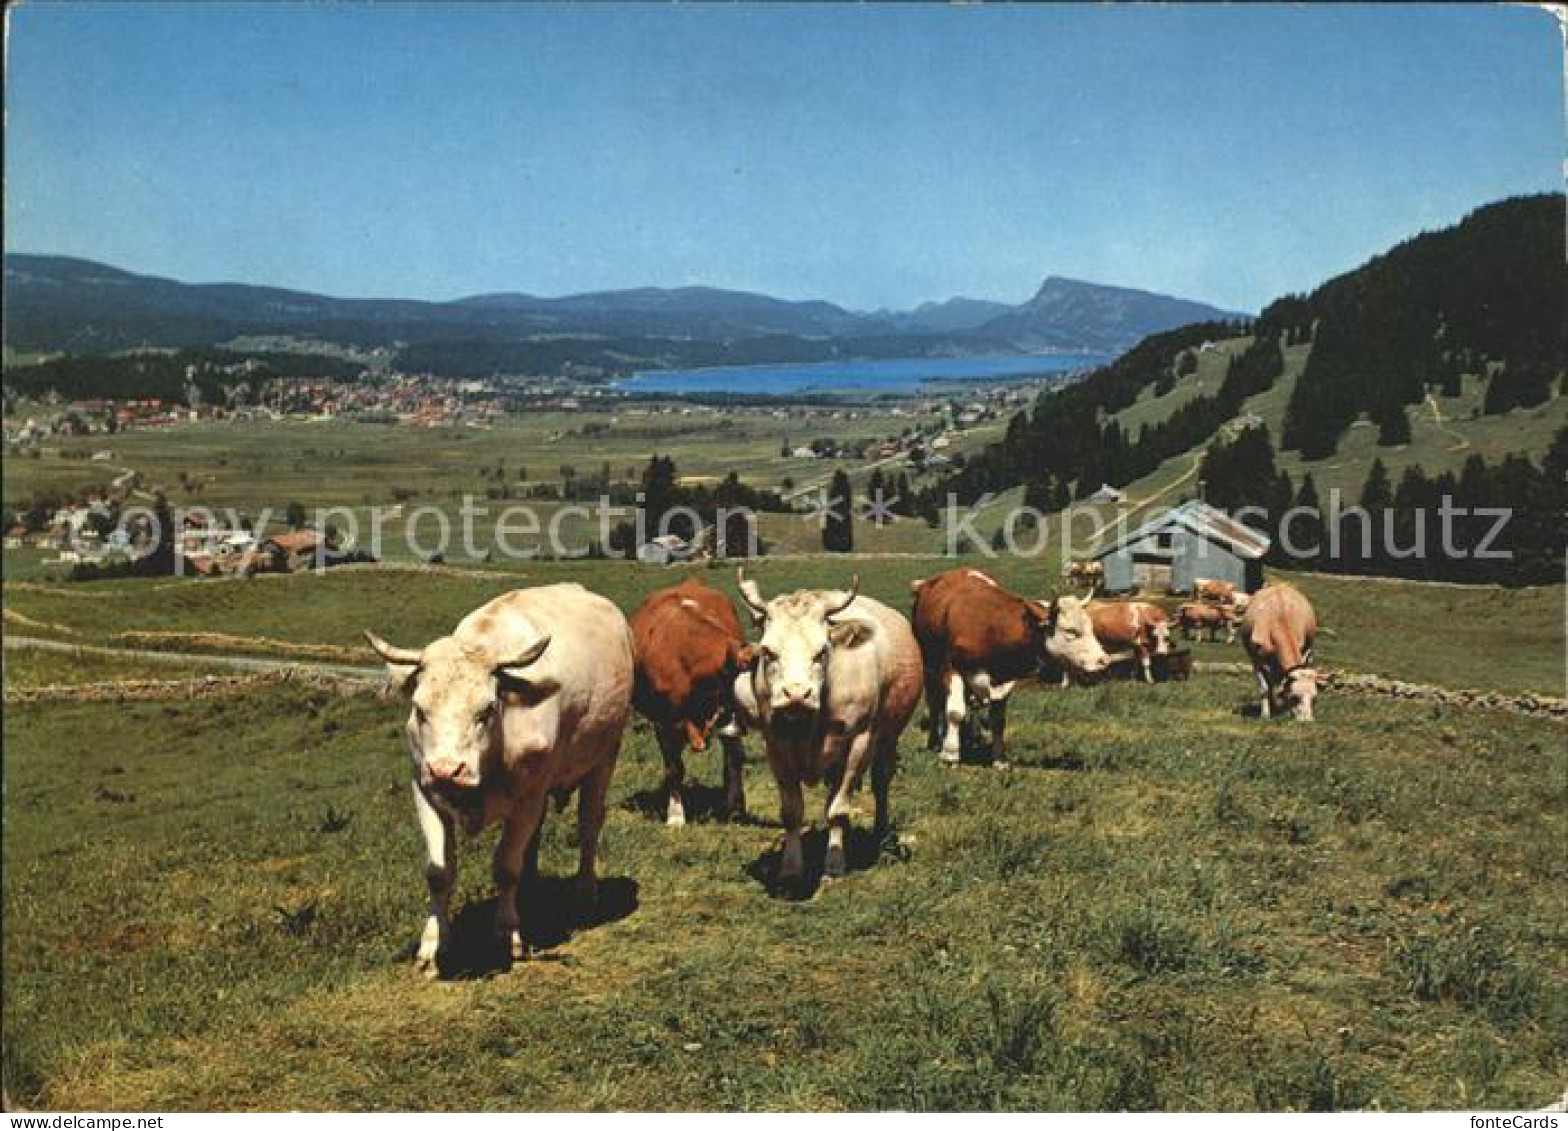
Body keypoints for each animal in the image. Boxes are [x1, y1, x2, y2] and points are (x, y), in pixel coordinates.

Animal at [363, 583, 633, 972]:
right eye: (419, 709)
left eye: (486, 710)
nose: (447, 769)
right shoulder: (425, 791)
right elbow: (438, 873)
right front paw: (433, 944)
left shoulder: (528, 798)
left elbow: (506, 866)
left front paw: (507, 934)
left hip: (605, 756)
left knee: (588, 825)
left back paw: (585, 892)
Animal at [730, 567, 915, 884]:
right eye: (768, 651)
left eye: (822, 651)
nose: (796, 694)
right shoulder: (775, 746)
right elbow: (792, 812)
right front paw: (791, 868)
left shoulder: (859, 742)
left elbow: (838, 811)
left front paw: (834, 865)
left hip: (888, 738)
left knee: (881, 782)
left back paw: (881, 833)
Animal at [909, 567, 1116, 762]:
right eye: (1070, 631)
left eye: (1090, 627)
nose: (1104, 660)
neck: (989, 625)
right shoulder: (952, 667)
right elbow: (954, 712)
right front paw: (950, 754)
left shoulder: (1003, 679)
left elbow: (998, 720)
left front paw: (999, 759)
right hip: (929, 665)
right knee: (935, 702)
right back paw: (936, 741)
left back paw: (971, 737)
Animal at [1235, 586, 1323, 718]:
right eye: (1295, 697)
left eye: (1314, 698)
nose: (1307, 720)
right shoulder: (1257, 662)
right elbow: (1265, 688)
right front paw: (1265, 714)